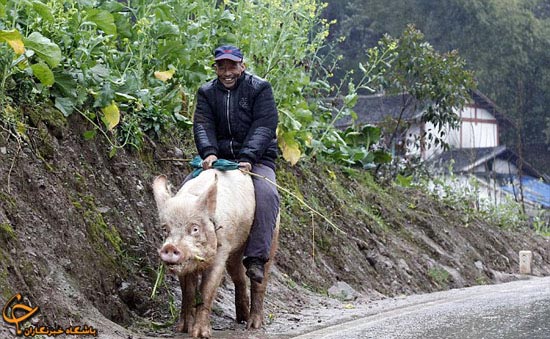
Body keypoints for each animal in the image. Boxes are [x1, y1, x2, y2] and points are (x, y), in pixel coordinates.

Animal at [152, 170, 278, 339]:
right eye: (165, 229)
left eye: (195, 228)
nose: (170, 247)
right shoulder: (186, 266)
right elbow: (188, 292)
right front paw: (182, 329)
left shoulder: (222, 251)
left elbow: (207, 289)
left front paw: (200, 334)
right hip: (234, 252)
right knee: (239, 277)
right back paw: (242, 319)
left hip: (273, 232)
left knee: (260, 279)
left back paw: (253, 325)